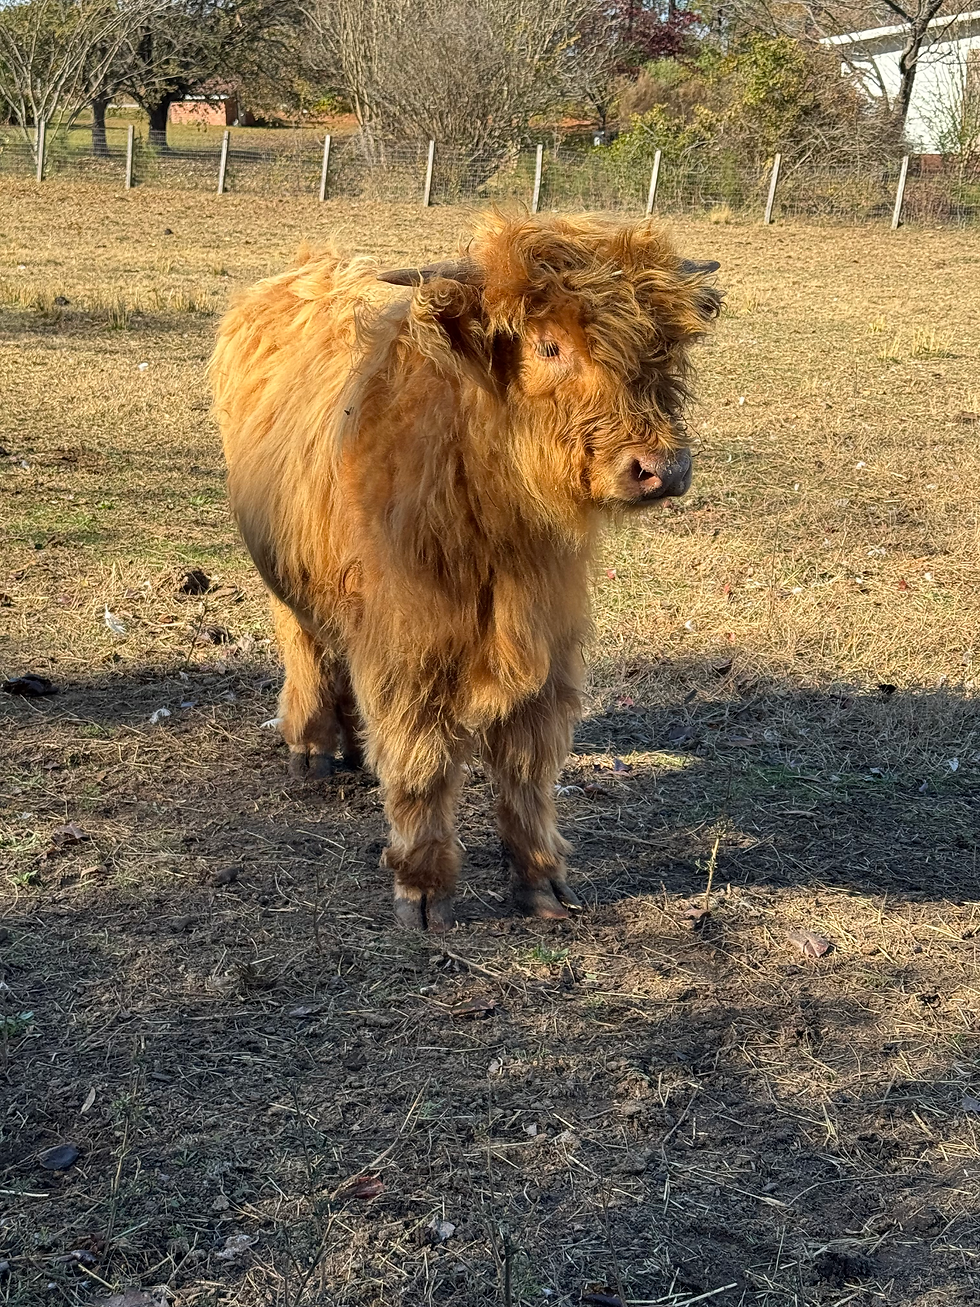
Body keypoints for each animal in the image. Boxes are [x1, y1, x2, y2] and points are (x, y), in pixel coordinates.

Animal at [211, 212, 720, 931]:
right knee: (306, 646)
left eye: (662, 349)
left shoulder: (545, 638)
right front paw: (422, 890)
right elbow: (421, 762)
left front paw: (541, 883)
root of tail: (308, 266)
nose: (662, 469)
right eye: (549, 346)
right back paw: (311, 748)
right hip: (287, 572)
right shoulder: (410, 645)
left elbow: (528, 770)